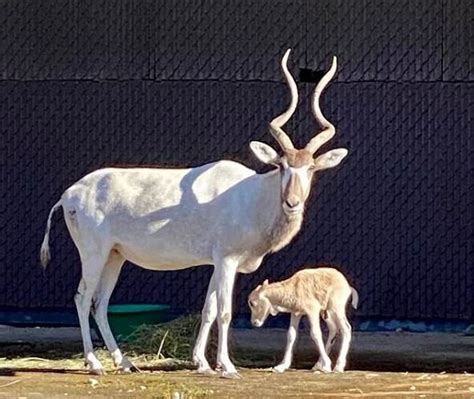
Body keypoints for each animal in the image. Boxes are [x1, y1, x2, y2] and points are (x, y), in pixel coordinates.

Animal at [39, 49, 346, 378]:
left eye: (311, 168)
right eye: (281, 165)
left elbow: (208, 309)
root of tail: (69, 194)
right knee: (83, 298)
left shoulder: (216, 263)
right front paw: (227, 367)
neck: (252, 196)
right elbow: (224, 312)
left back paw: (125, 363)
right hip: (94, 254)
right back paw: (95, 364)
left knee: (100, 303)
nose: (292, 202)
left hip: (115, 256)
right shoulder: (227, 260)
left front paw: (203, 363)